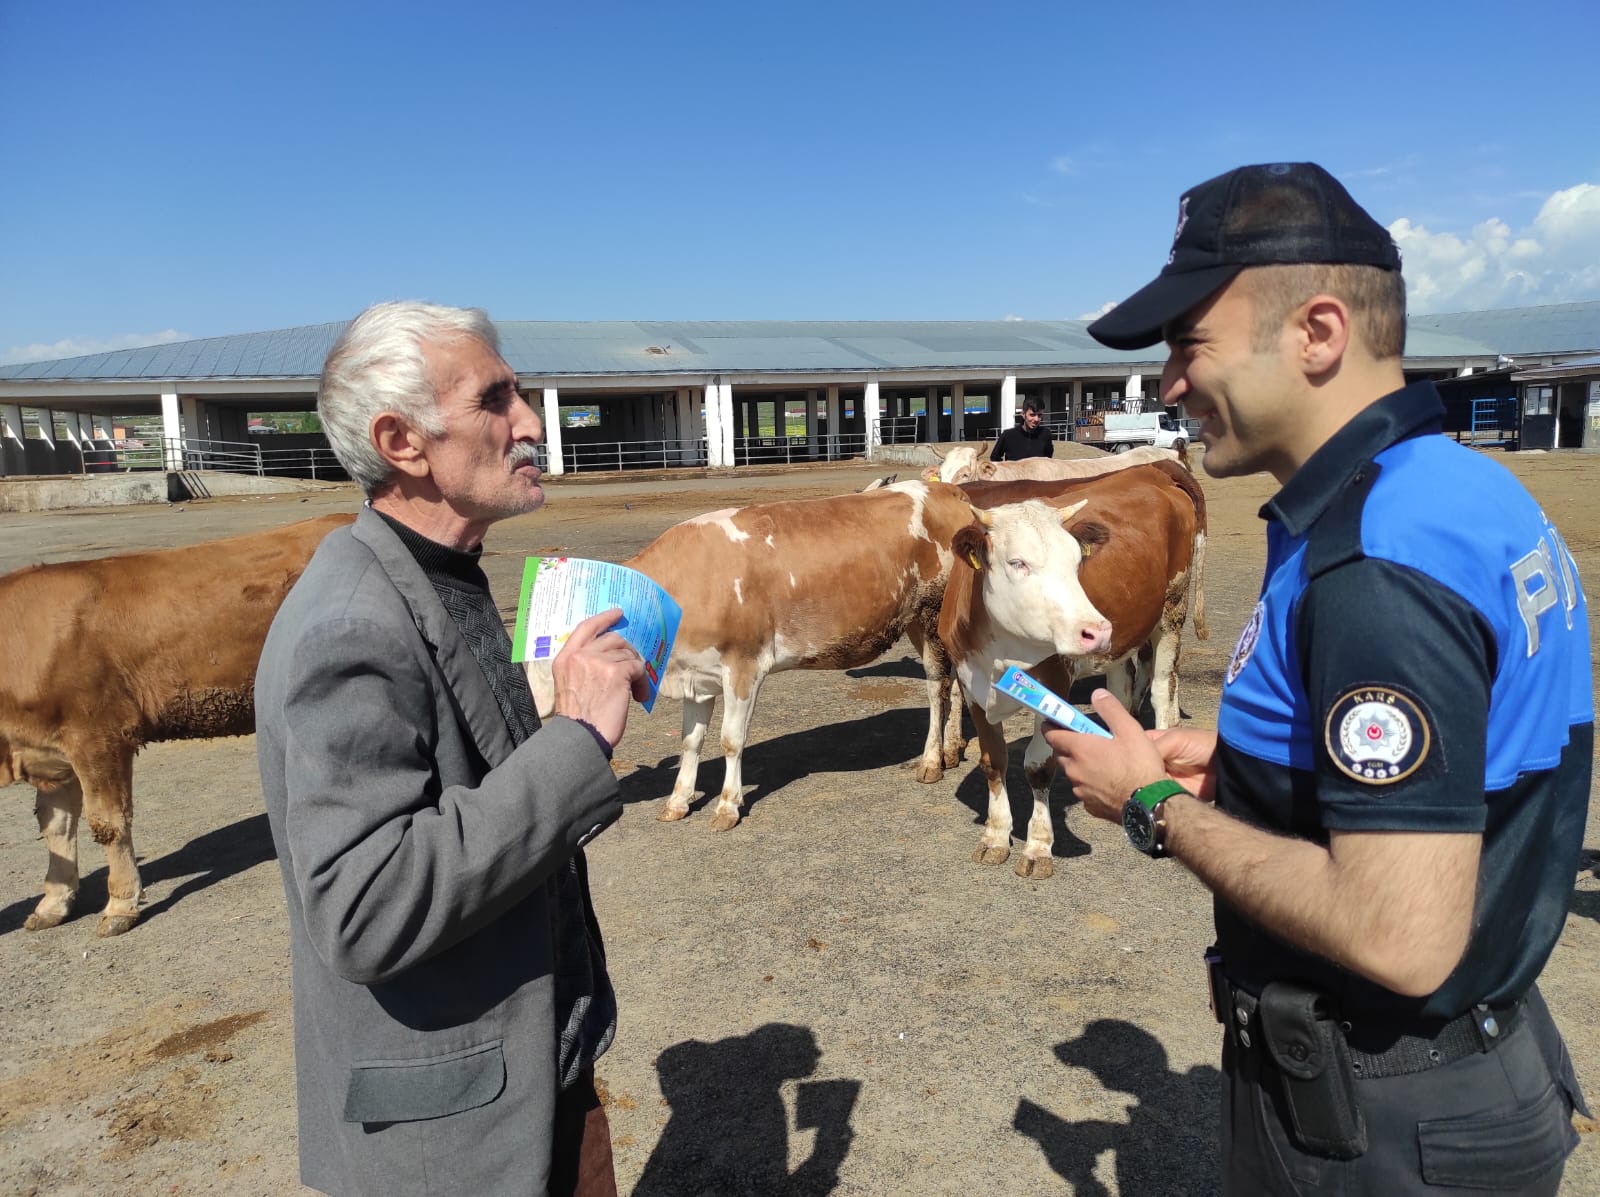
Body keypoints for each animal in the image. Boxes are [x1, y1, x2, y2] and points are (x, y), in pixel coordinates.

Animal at [0, 515, 352, 934]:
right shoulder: (50, 751)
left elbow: (108, 822)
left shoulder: (98, 735)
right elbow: (55, 827)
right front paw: (54, 903)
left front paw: (120, 905)